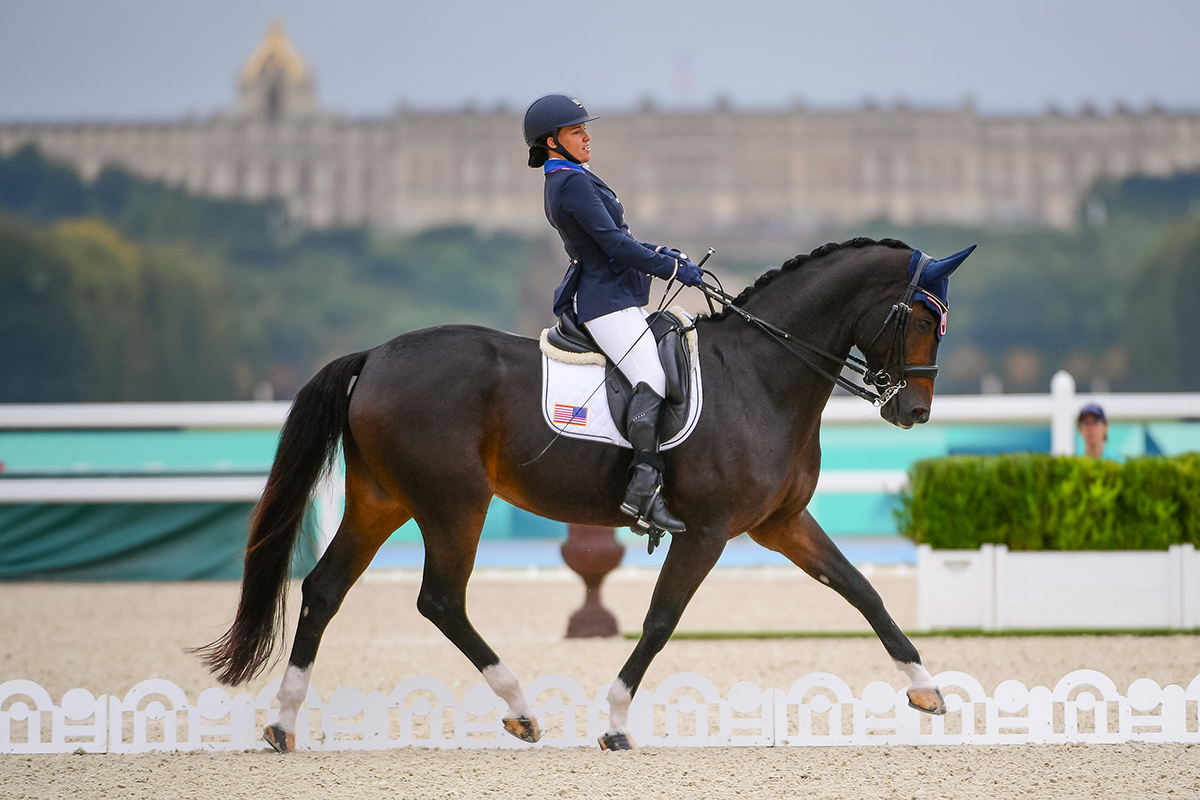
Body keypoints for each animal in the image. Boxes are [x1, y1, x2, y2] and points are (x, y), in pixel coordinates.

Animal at [192, 235, 969, 753]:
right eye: (919, 318)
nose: (914, 412)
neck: (760, 374)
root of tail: (375, 356)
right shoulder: (709, 531)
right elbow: (660, 620)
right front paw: (616, 723)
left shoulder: (780, 522)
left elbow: (862, 589)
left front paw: (926, 687)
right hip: (453, 503)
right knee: (439, 599)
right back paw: (521, 708)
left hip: (382, 499)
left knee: (324, 589)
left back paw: (283, 723)